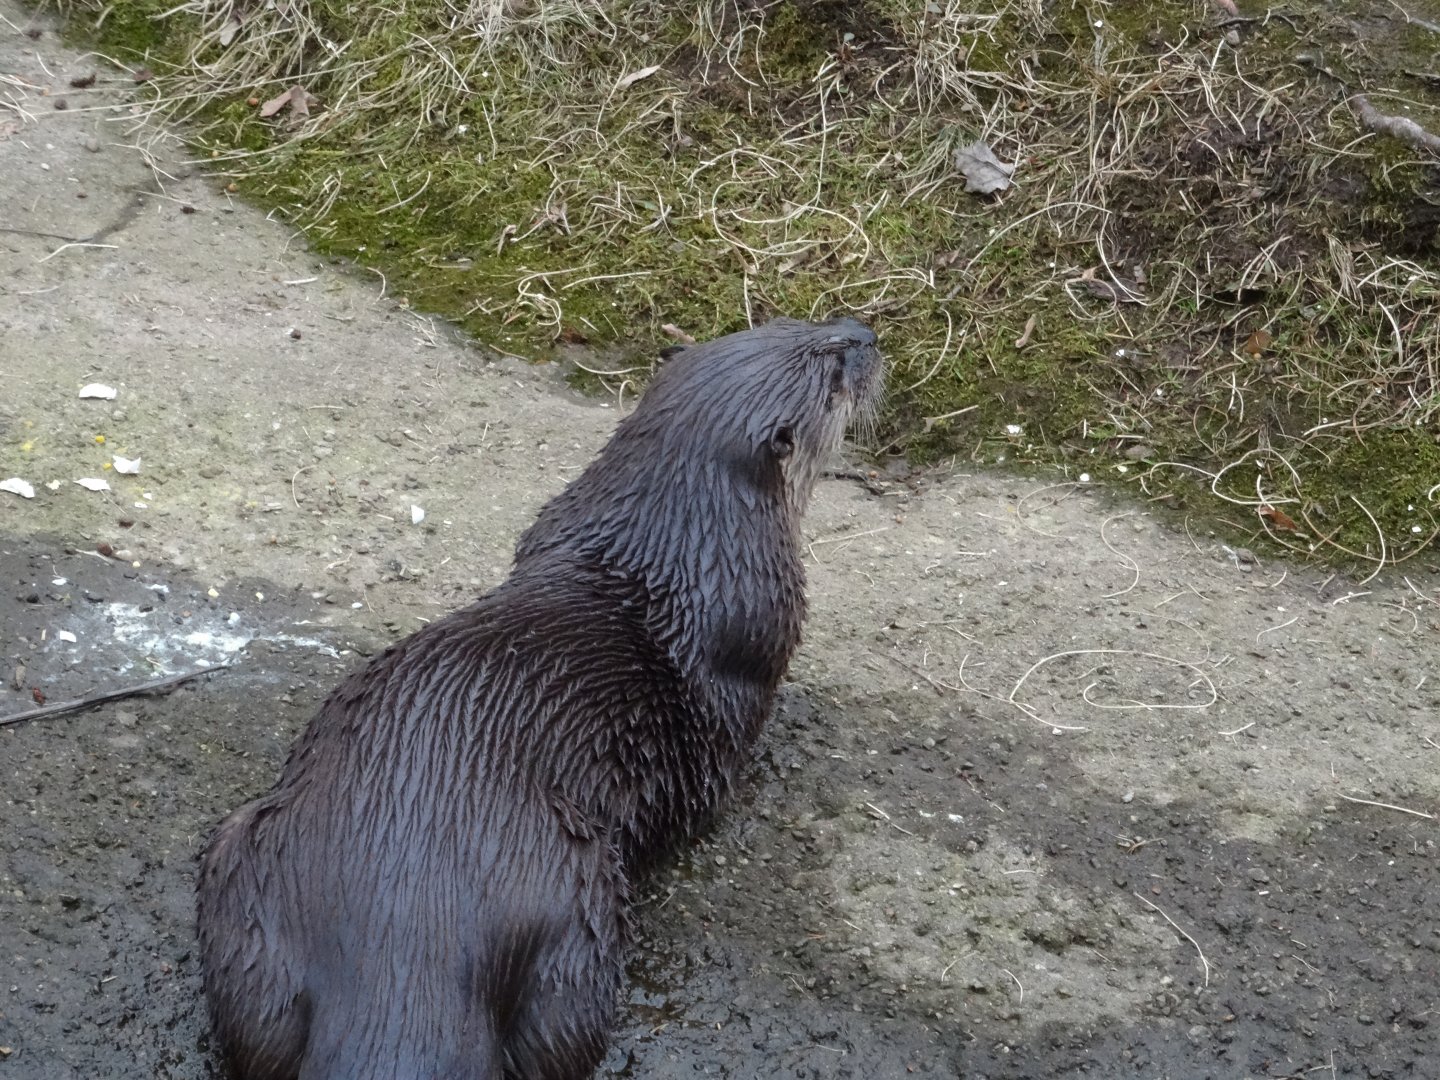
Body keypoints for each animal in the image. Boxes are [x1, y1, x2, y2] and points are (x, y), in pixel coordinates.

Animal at [196, 316, 884, 1080]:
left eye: (792, 321)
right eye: (832, 363)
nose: (865, 331)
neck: (675, 543)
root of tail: (405, 951)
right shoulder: (759, 639)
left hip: (247, 869)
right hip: (578, 898)